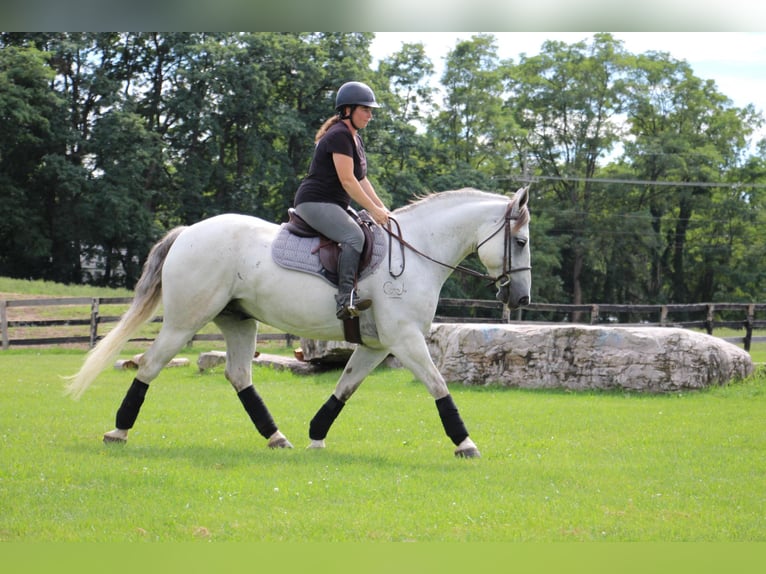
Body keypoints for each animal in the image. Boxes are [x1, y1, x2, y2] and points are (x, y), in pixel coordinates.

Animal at [64, 188, 536, 460]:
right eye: (520, 241)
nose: (521, 299)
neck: (418, 253)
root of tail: (189, 232)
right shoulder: (404, 340)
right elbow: (439, 387)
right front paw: (466, 443)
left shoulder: (378, 345)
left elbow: (344, 388)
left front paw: (316, 435)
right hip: (185, 322)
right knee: (149, 365)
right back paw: (118, 431)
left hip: (239, 321)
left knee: (239, 375)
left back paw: (277, 438)